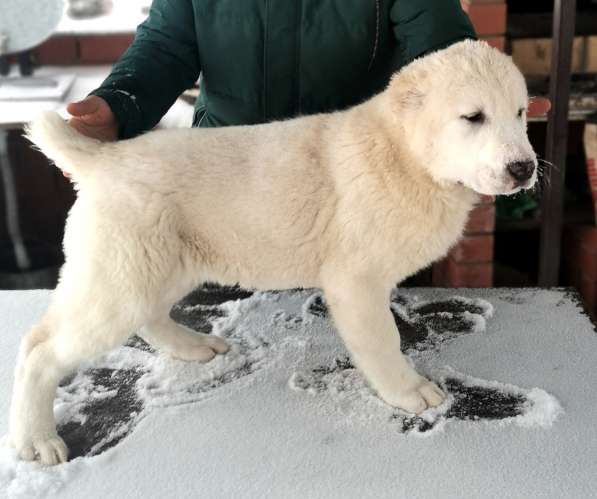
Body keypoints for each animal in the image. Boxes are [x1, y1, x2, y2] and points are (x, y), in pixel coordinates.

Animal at [8, 41, 536, 466]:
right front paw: (409, 392)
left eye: (520, 113)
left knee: (150, 317)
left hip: (162, 265)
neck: (404, 156)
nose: (524, 168)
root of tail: (102, 158)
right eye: (473, 117)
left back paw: (194, 347)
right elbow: (384, 342)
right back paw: (36, 440)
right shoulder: (356, 282)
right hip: (121, 276)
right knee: (39, 348)